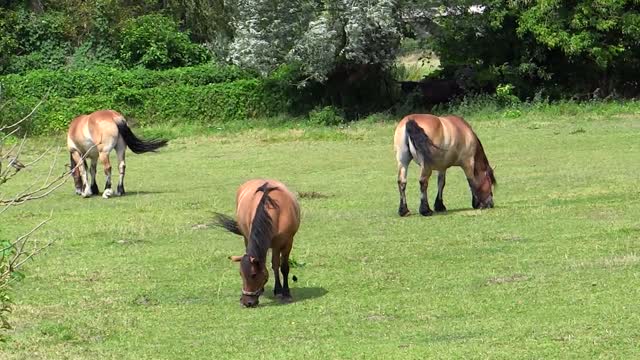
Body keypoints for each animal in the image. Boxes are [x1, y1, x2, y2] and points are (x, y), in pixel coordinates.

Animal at [211, 179, 298, 308]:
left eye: (253, 275)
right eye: (241, 274)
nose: (247, 302)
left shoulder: (287, 243)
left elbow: (283, 267)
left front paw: (285, 293)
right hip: (248, 237)